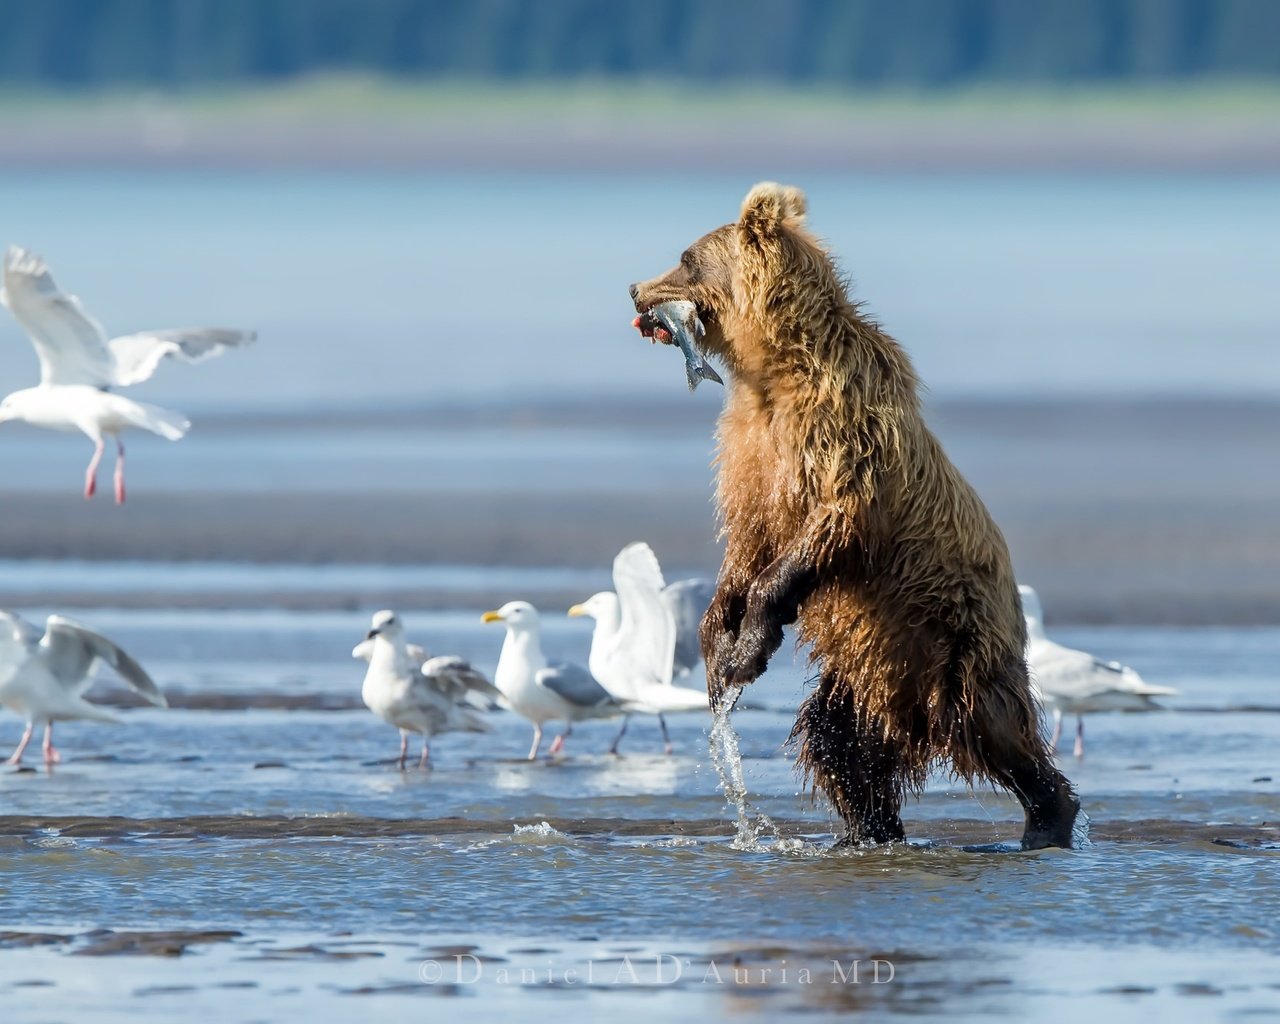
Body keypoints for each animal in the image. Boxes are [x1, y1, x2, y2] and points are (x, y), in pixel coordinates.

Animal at [629, 181, 1080, 849]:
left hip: (954, 635)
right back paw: (868, 830)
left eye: (685, 258)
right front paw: (718, 641)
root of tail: (909, 714)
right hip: (866, 667)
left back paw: (1048, 816)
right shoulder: (750, 453)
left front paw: (747, 649)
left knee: (991, 727)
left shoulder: (844, 433)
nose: (635, 288)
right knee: (837, 740)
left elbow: (827, 527)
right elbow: (747, 541)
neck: (774, 372)